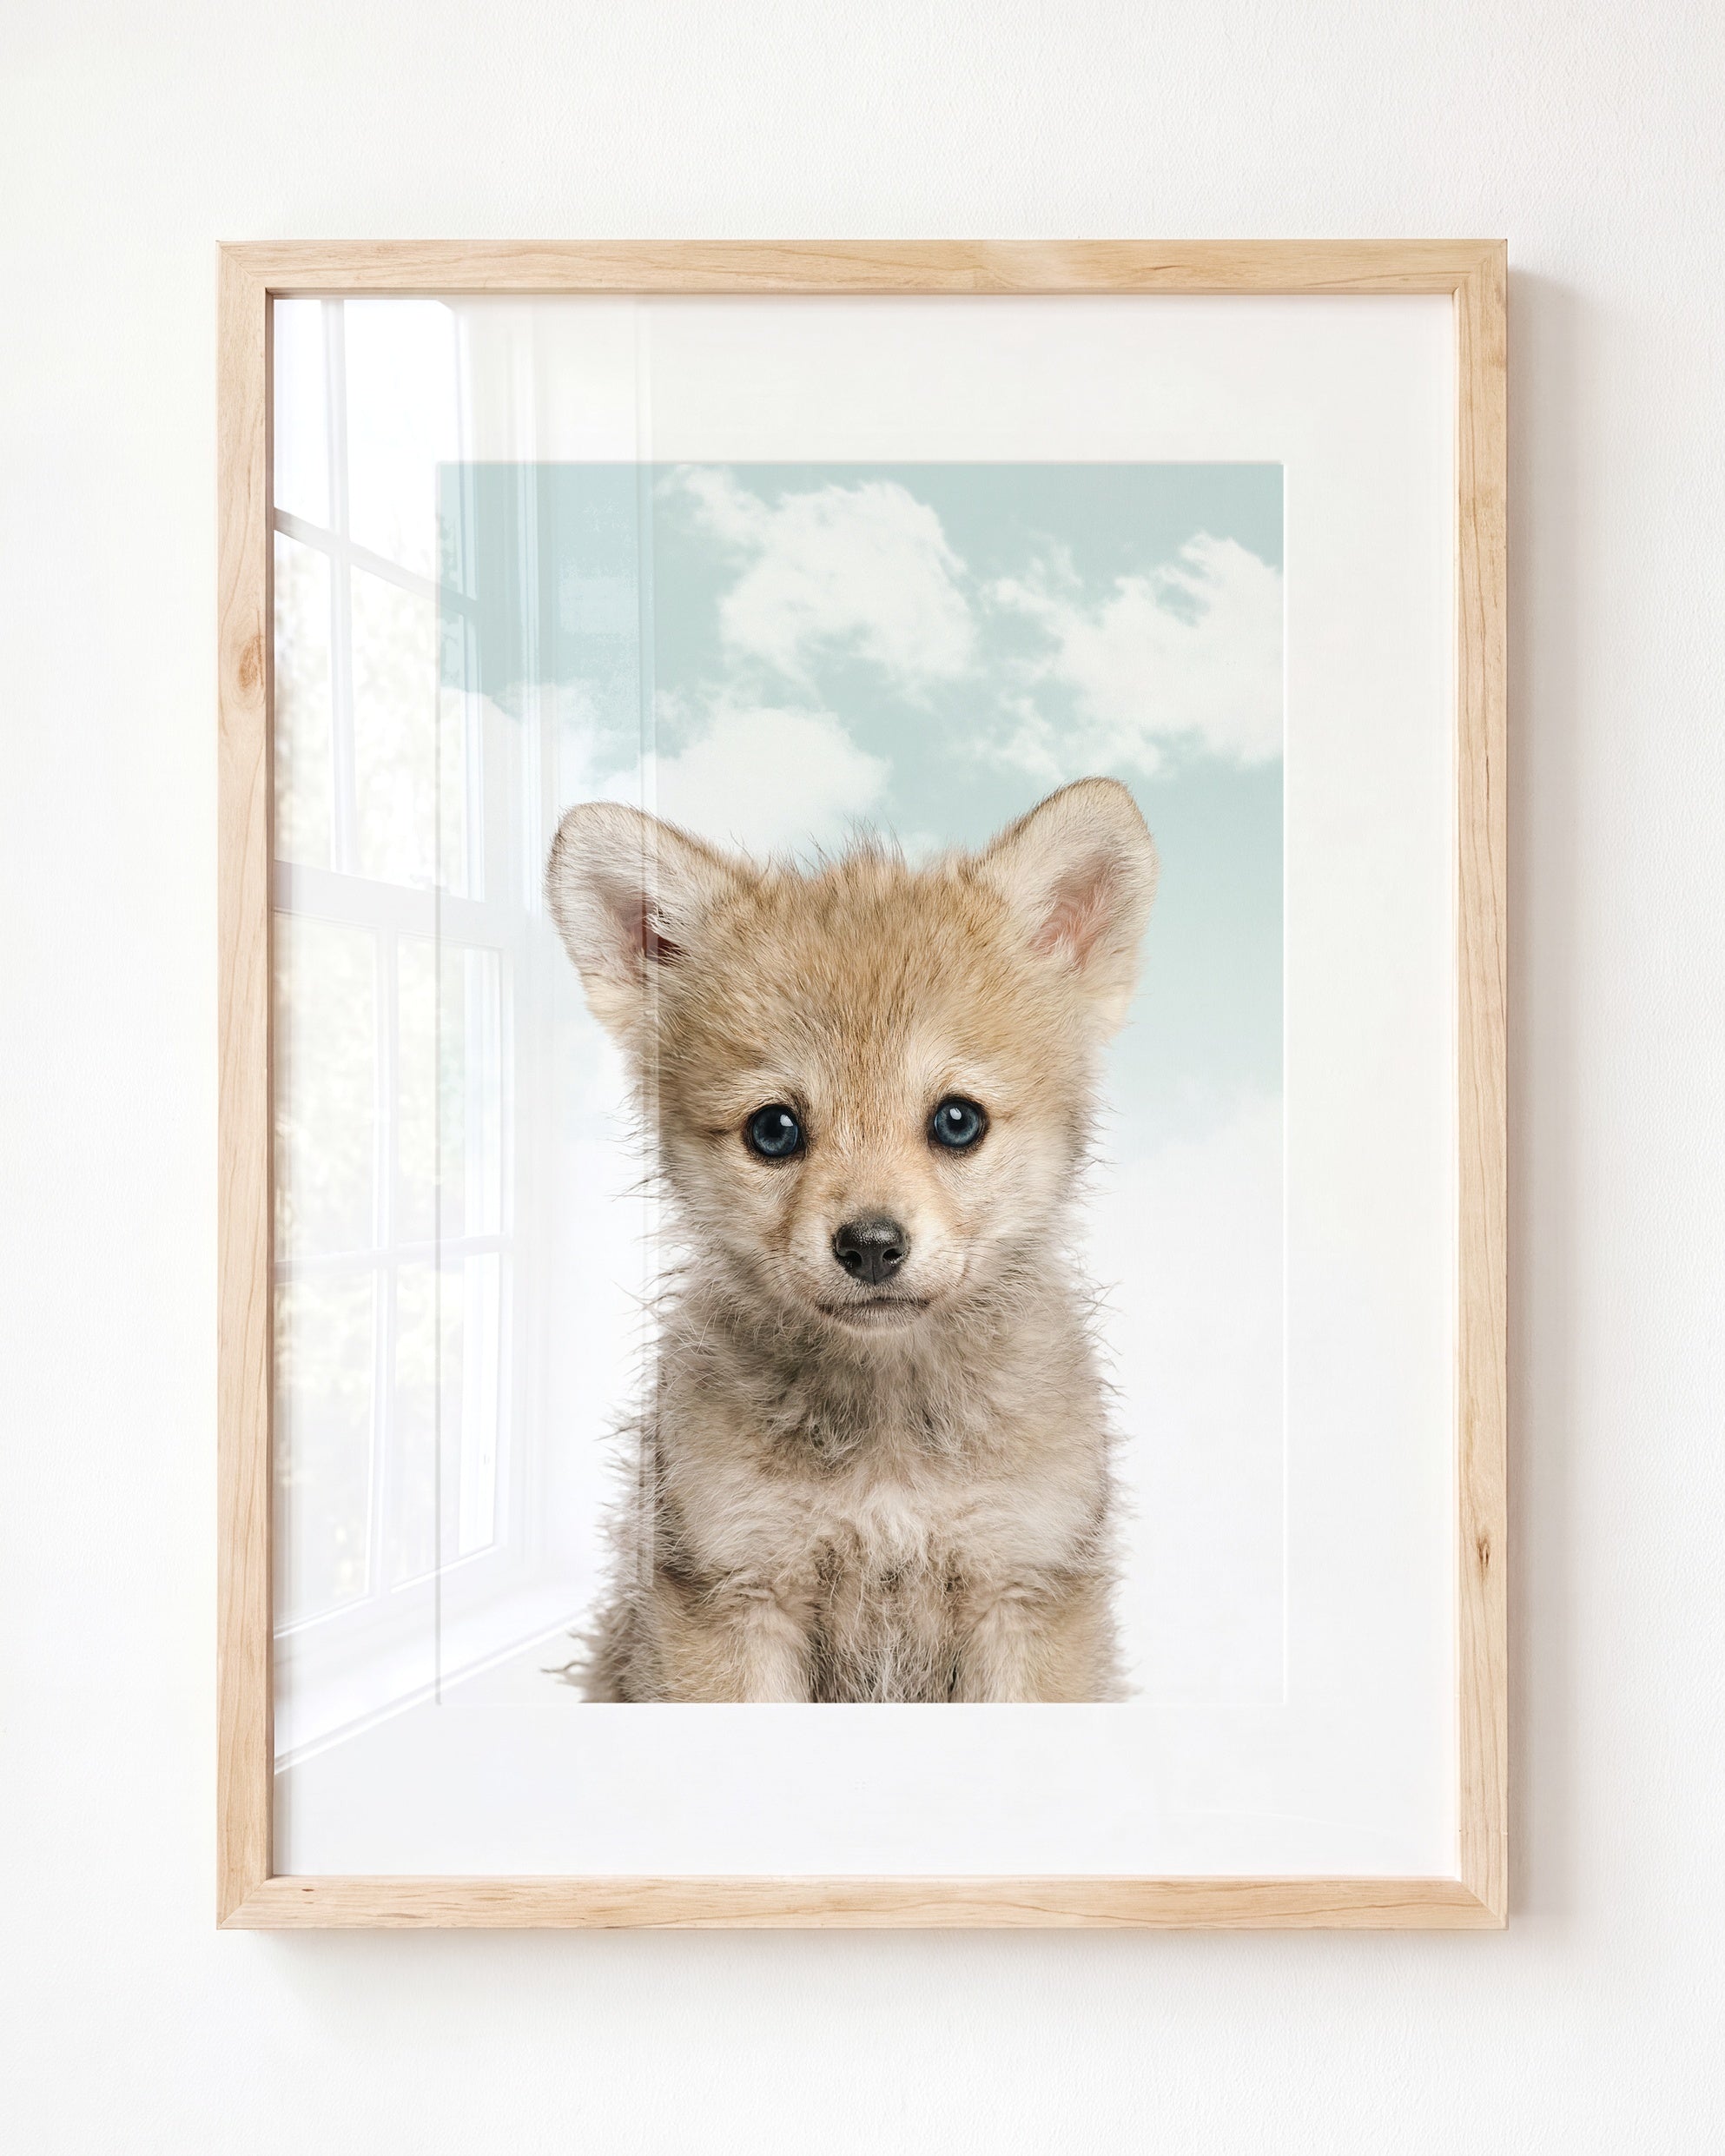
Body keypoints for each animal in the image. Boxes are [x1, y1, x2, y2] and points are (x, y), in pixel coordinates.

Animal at [545, 777, 1158, 1702]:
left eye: (957, 1121)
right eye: (773, 1131)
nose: (871, 1245)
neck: (888, 1443)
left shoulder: (1022, 1588)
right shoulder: (736, 1592)